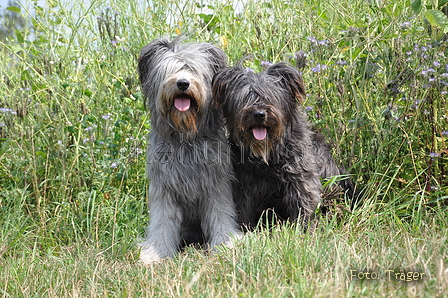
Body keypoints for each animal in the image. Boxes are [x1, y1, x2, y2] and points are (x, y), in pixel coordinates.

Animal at [138, 37, 242, 264]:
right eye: (170, 70)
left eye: (192, 69)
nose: (183, 83)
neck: (186, 137)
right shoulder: (164, 186)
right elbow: (162, 221)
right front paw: (156, 253)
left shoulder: (215, 184)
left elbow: (220, 213)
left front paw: (225, 244)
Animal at [212, 61, 356, 229]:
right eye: (246, 98)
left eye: (270, 96)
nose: (259, 114)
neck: (268, 153)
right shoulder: (245, 182)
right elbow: (243, 207)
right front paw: (245, 229)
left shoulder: (300, 175)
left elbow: (303, 200)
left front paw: (303, 228)